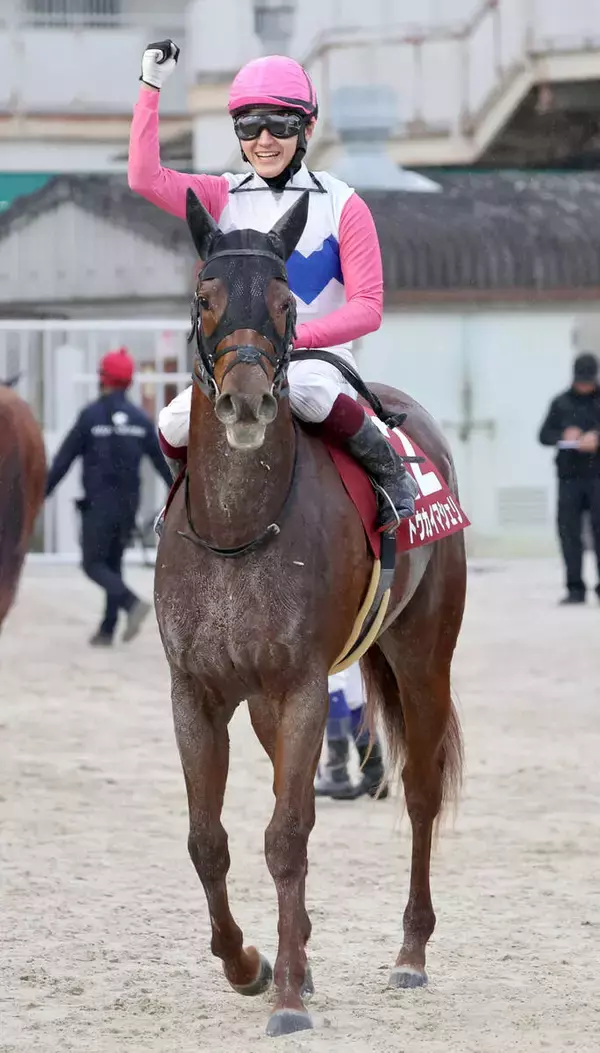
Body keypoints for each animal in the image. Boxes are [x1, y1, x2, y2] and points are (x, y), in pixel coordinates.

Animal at [154, 189, 466, 1038]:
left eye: (288, 301)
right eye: (203, 296)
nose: (248, 400)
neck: (237, 529)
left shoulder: (299, 686)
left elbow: (287, 836)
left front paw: (288, 994)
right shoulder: (196, 692)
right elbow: (207, 839)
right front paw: (249, 964)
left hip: (423, 655)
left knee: (420, 791)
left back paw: (411, 953)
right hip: (267, 701)